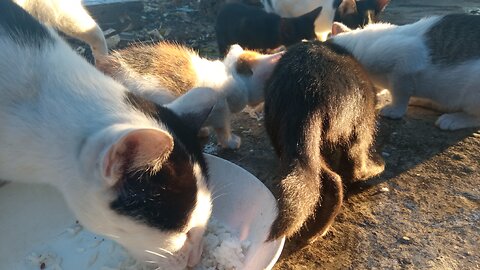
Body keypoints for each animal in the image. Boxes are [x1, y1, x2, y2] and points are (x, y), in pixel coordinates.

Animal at [264, 40, 384, 243]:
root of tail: (307, 98)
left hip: (299, 143)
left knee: (326, 178)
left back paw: (315, 231)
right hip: (358, 128)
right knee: (351, 170)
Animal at [332, 14, 480, 130]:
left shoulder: (406, 61)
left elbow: (399, 92)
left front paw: (395, 109)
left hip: (472, 93)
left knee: (475, 117)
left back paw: (455, 119)